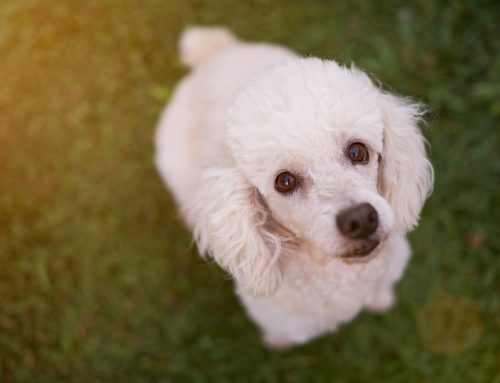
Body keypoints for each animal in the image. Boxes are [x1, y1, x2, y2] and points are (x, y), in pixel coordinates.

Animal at [156, 25, 434, 346]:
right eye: (285, 182)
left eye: (357, 151)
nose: (361, 219)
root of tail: (214, 53)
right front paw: (277, 342)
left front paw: (380, 301)